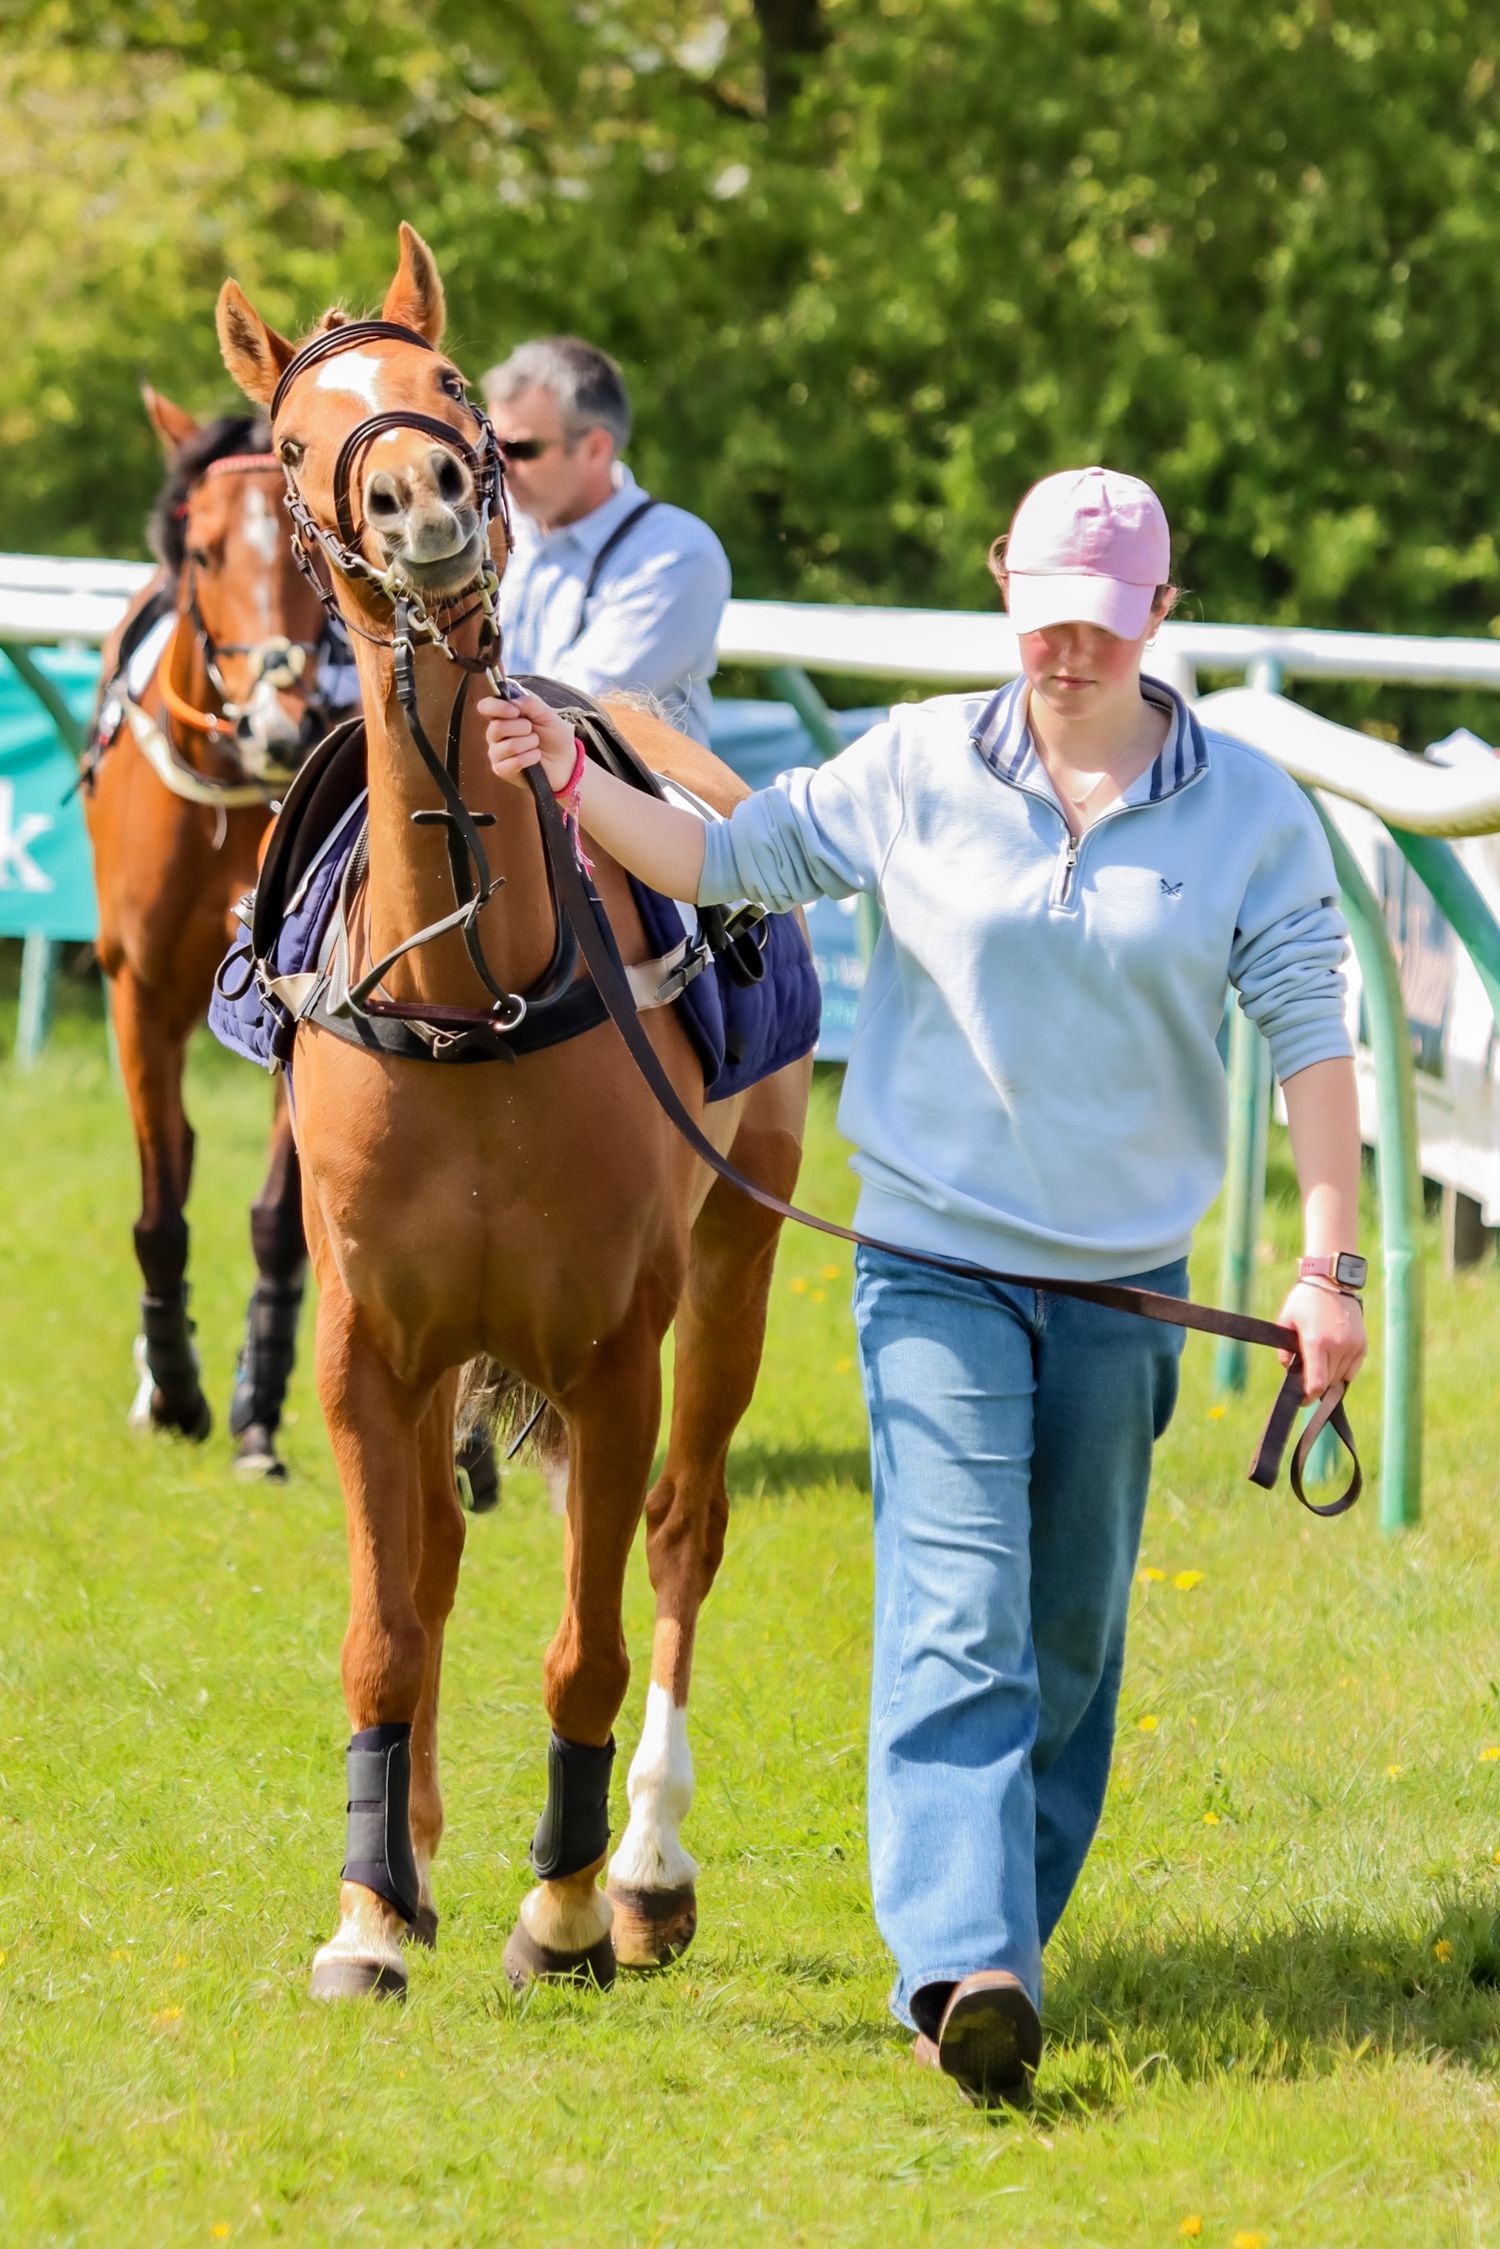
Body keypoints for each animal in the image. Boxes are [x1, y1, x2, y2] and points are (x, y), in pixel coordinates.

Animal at [215, 223, 812, 1998]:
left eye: (451, 381)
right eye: (292, 440)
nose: (415, 490)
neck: (471, 992)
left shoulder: (615, 1350)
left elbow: (588, 1641)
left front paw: (562, 1904)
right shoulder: (368, 1346)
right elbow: (388, 1621)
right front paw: (369, 1904)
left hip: (734, 1268)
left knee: (682, 1534)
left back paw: (645, 1868)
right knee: (433, 1554)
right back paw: (410, 1856)